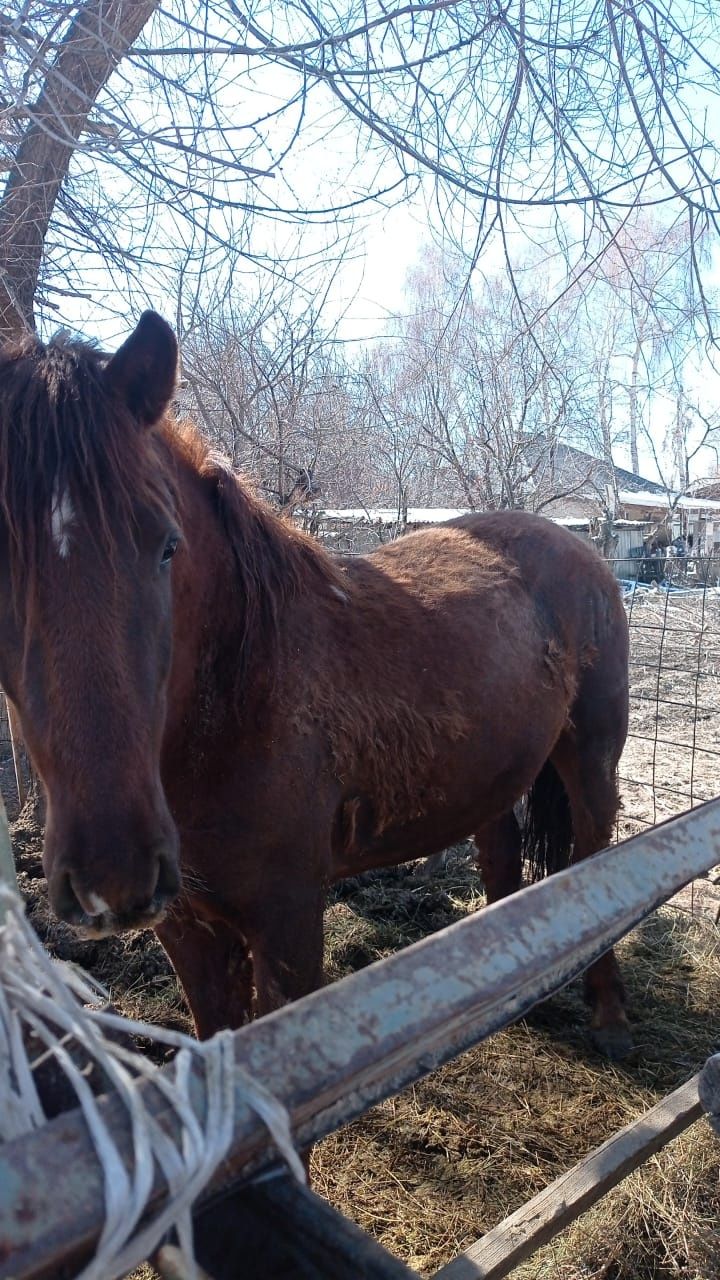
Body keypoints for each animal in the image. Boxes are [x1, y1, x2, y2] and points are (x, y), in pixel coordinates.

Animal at [0, 314, 627, 1054]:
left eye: (167, 546)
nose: (110, 869)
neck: (238, 698)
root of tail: (577, 545)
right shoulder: (187, 929)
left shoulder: (288, 922)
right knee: (502, 860)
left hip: (592, 761)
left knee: (595, 854)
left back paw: (610, 1015)